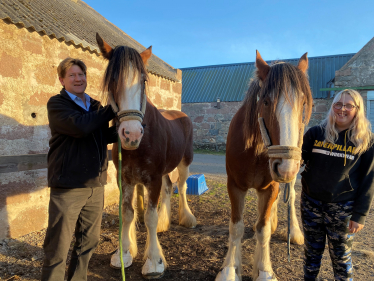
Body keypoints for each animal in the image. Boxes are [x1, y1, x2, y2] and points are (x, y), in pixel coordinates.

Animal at [95, 33, 197, 278]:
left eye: (143, 80)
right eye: (112, 80)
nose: (131, 134)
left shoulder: (152, 179)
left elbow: (149, 217)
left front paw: (154, 261)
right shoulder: (125, 179)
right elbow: (127, 213)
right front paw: (123, 253)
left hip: (184, 162)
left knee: (182, 187)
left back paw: (187, 218)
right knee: (169, 187)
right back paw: (164, 223)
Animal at [216, 50, 312, 280]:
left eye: (303, 103)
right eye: (266, 102)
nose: (285, 167)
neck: (257, 151)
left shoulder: (270, 187)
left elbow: (263, 229)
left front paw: (264, 270)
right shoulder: (235, 186)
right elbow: (236, 227)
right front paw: (229, 269)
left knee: (291, 195)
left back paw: (295, 232)